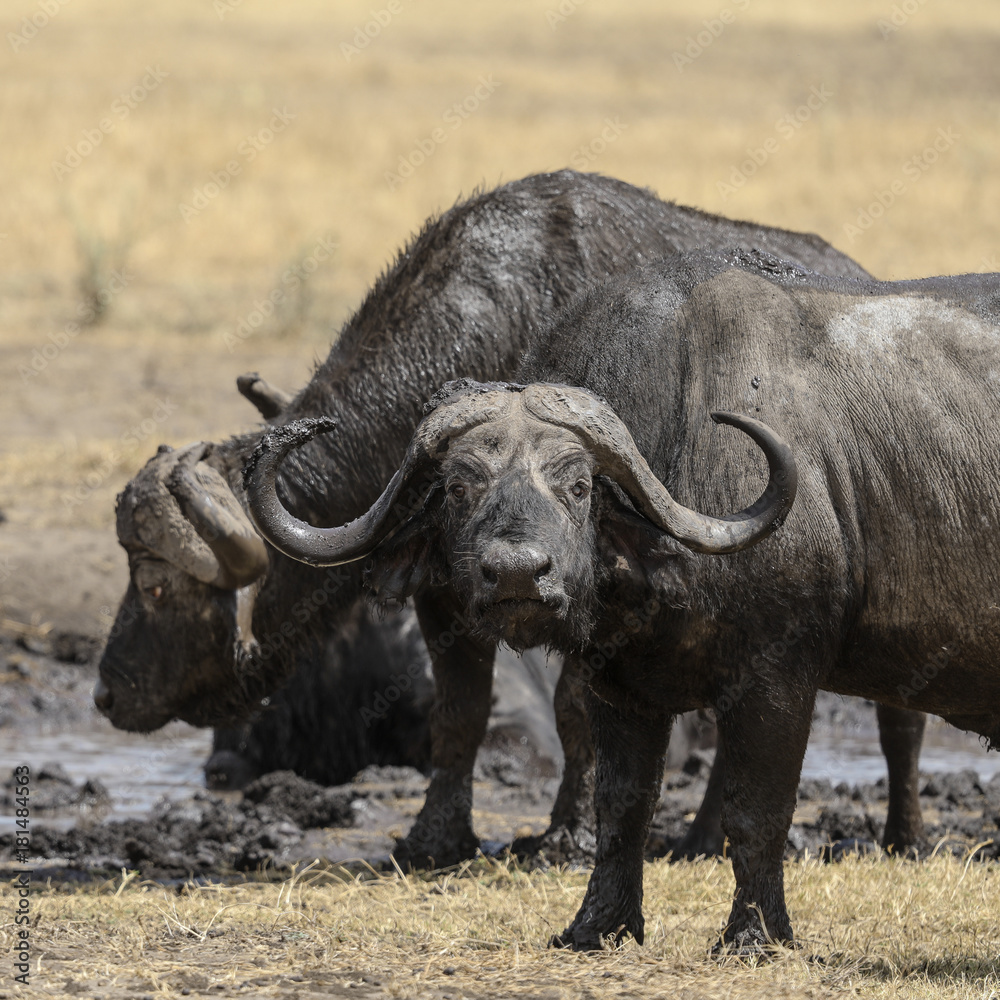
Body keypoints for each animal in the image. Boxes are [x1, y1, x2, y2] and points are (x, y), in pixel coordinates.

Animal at [95, 169, 921, 868]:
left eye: (158, 584)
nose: (106, 693)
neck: (510, 326)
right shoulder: (440, 593)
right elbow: (459, 713)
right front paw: (434, 838)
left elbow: (577, 707)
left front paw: (569, 836)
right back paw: (701, 837)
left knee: (896, 714)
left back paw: (898, 838)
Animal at [245, 248, 999, 952]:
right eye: (459, 487)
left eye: (579, 486)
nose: (516, 574)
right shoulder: (619, 683)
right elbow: (621, 808)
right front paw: (597, 925)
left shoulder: (779, 676)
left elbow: (758, 812)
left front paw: (753, 936)